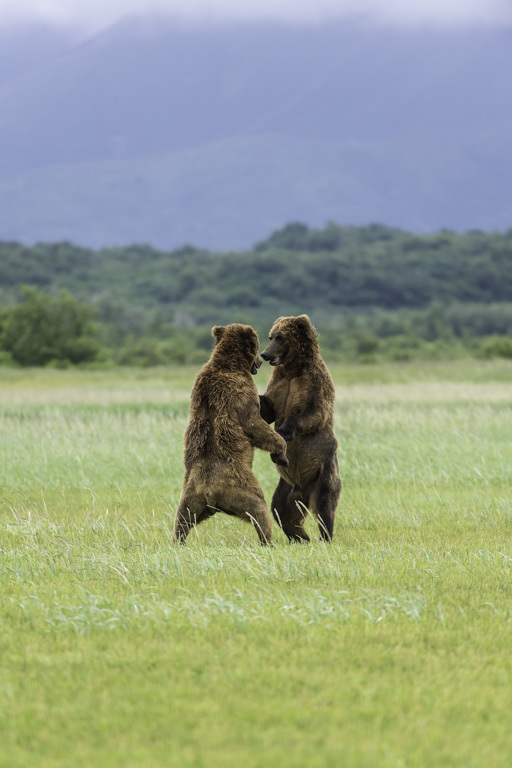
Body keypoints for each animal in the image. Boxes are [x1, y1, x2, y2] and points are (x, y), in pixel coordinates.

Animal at [174, 324, 288, 544]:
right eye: (258, 346)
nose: (260, 360)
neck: (229, 364)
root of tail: (210, 492)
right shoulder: (242, 391)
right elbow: (254, 424)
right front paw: (281, 454)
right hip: (242, 487)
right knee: (259, 510)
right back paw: (267, 540)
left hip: (190, 495)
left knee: (182, 518)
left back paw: (177, 541)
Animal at [262, 316, 342, 544]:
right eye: (270, 336)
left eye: (280, 337)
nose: (264, 354)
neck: (292, 370)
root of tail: (303, 491)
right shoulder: (279, 385)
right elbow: (268, 408)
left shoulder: (313, 383)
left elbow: (314, 412)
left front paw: (283, 432)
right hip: (286, 487)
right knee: (281, 509)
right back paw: (300, 537)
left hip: (324, 471)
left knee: (325, 506)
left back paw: (324, 537)